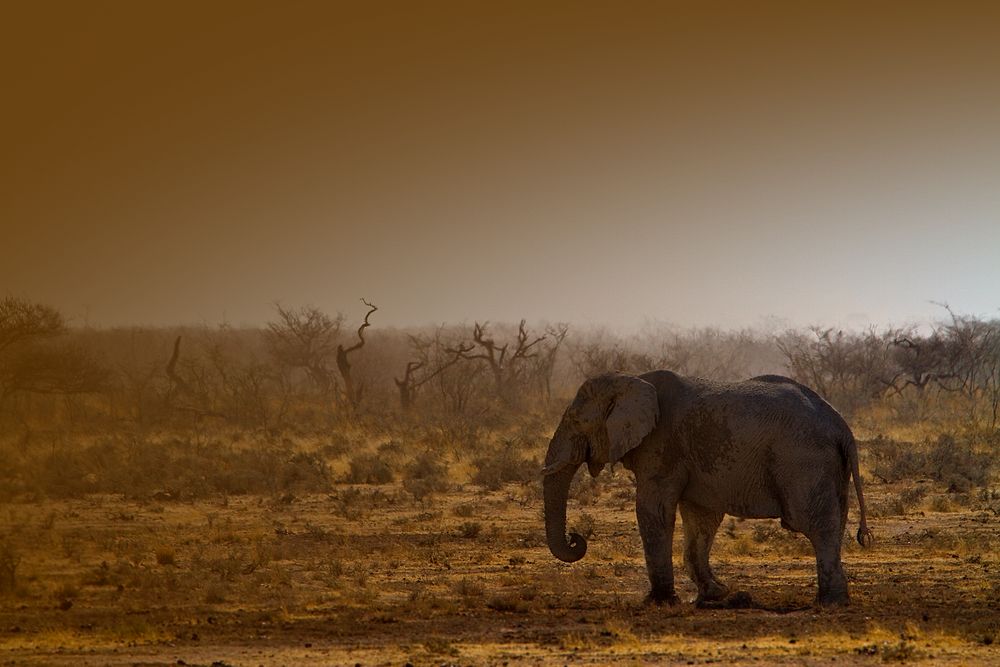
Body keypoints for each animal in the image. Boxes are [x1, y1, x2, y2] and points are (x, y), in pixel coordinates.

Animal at [544, 370, 872, 604]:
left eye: (576, 421)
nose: (576, 538)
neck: (630, 379)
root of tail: (841, 426)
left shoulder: (662, 447)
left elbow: (654, 510)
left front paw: (659, 601)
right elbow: (701, 519)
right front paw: (715, 593)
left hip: (802, 460)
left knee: (816, 524)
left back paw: (830, 602)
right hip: (828, 466)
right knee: (835, 521)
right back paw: (834, 598)